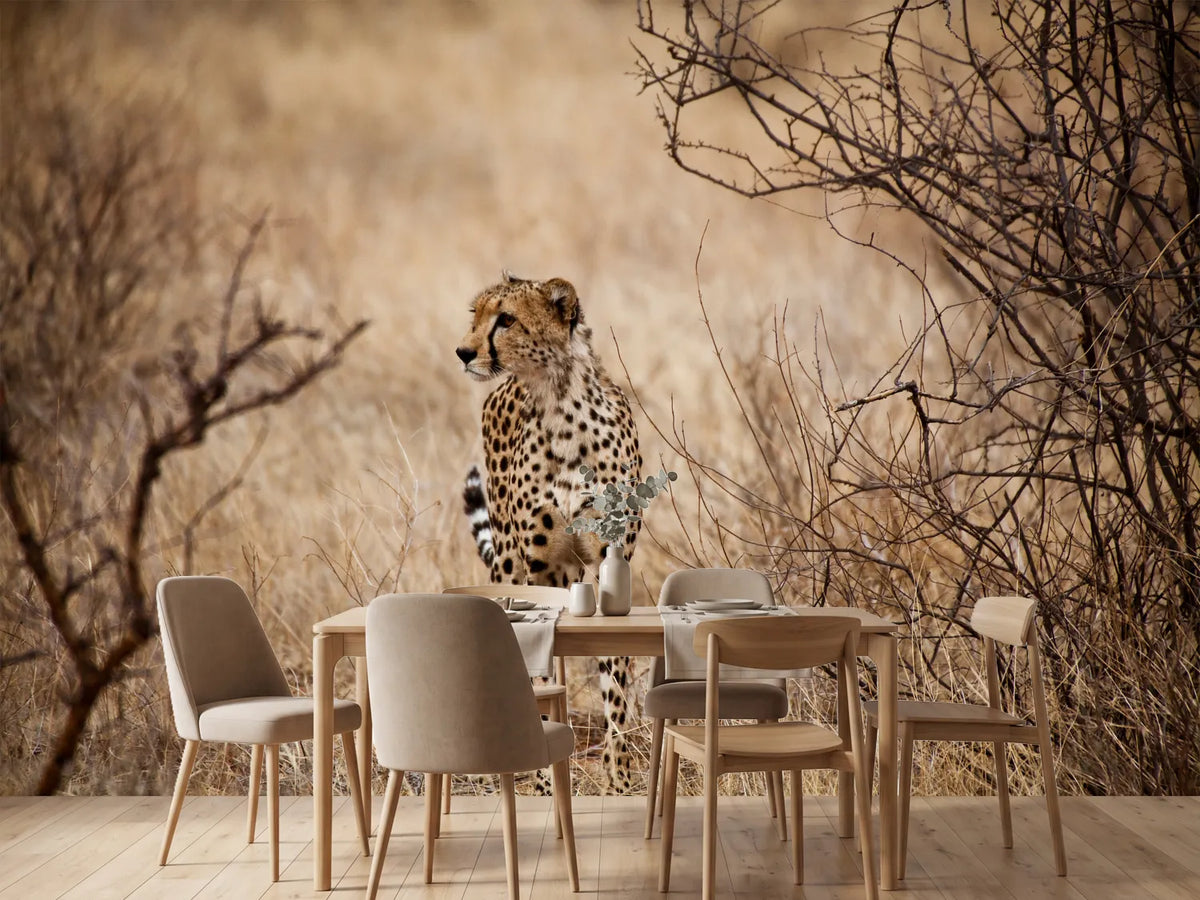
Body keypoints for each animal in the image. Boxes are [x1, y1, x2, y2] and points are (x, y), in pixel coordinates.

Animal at [456, 272, 641, 794]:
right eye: (475, 315)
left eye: (506, 319)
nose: (463, 352)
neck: (560, 403)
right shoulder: (537, 567)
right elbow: (536, 678)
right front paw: (541, 785)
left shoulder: (608, 558)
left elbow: (616, 684)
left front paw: (619, 780)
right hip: (514, 563)